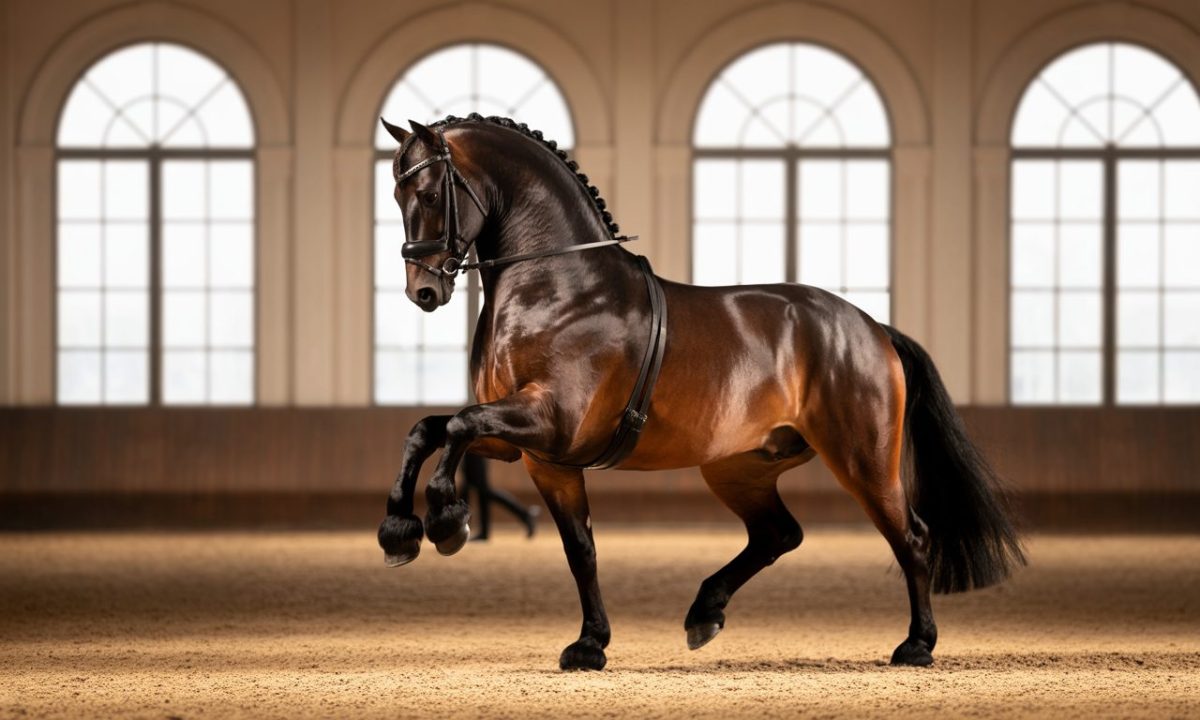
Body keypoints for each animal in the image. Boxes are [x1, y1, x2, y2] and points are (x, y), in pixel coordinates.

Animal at [375, 113, 1025, 672]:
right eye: (397, 196)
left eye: (428, 195)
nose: (424, 291)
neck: (560, 286)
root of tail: (872, 327)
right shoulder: (534, 452)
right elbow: (447, 443)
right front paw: (587, 644)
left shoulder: (550, 420)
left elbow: (458, 426)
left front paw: (446, 520)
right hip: (740, 467)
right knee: (778, 534)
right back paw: (704, 613)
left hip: (863, 459)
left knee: (910, 536)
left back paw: (916, 645)